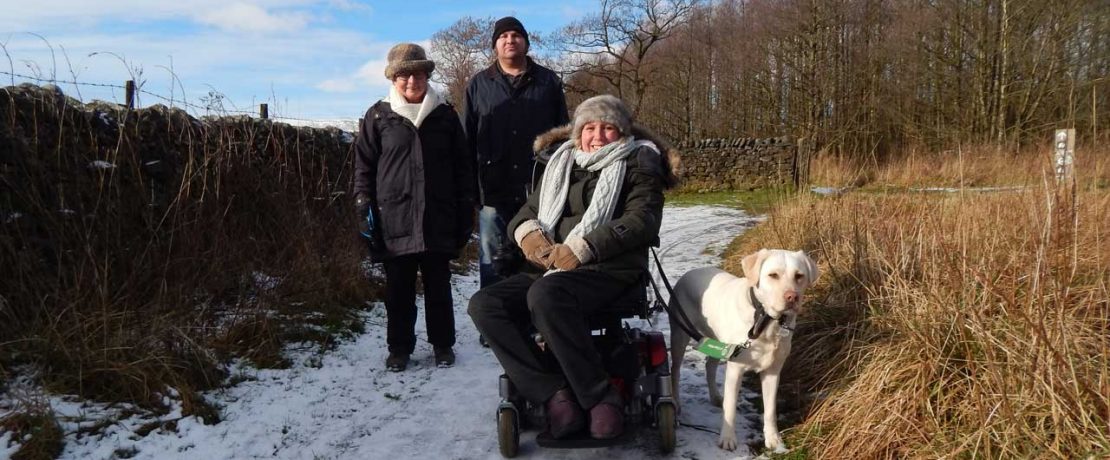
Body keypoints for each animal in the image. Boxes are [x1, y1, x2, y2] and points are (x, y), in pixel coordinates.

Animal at [666, 250, 816, 451]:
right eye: (773, 275)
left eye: (799, 276)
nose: (792, 297)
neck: (764, 321)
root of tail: (689, 272)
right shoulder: (735, 369)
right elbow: (730, 409)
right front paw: (728, 439)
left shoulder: (773, 371)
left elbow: (770, 410)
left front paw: (773, 440)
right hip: (679, 335)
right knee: (675, 370)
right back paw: (676, 402)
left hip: (719, 343)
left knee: (710, 365)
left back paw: (715, 397)